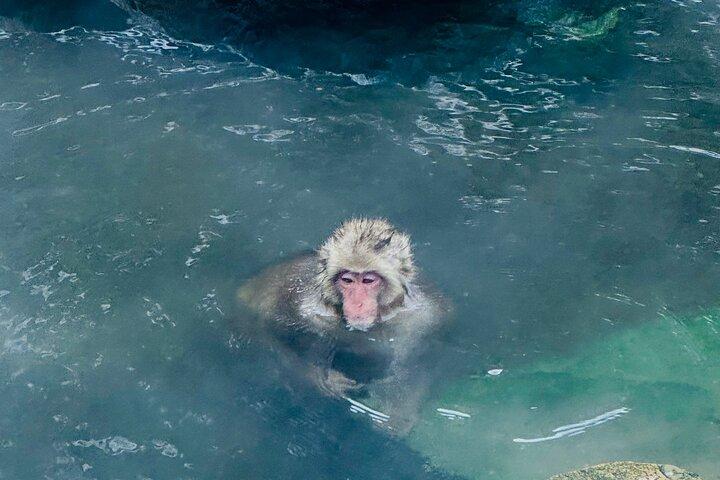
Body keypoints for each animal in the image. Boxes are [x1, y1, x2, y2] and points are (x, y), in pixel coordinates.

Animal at [237, 218, 447, 434]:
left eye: (368, 280)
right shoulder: (301, 307)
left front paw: (398, 414)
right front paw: (326, 382)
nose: (357, 303)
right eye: (347, 280)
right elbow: (275, 334)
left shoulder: (423, 318)